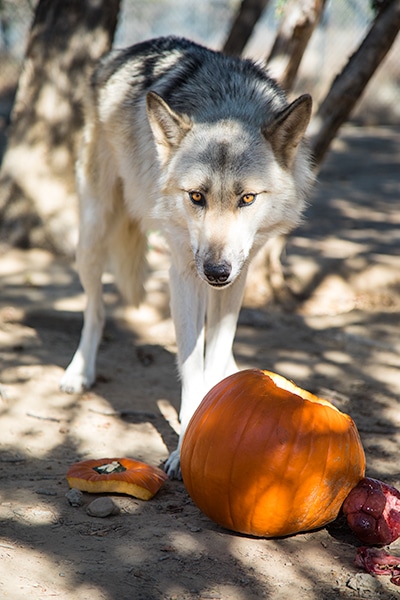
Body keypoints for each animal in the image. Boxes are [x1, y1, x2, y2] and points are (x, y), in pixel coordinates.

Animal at [61, 36, 314, 478]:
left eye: (248, 198)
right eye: (197, 196)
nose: (216, 271)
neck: (227, 101)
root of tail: (117, 54)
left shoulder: (238, 276)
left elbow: (215, 358)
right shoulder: (183, 273)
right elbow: (192, 367)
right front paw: (184, 449)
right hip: (92, 237)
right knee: (95, 311)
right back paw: (80, 371)